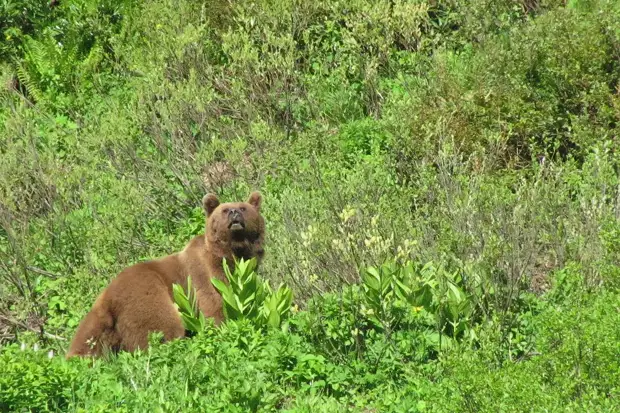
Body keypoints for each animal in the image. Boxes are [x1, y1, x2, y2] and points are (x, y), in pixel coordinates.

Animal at [65, 192, 264, 356]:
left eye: (243, 208)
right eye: (224, 210)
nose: (234, 213)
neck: (232, 254)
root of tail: (107, 296)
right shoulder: (204, 275)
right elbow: (214, 307)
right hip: (146, 295)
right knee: (163, 328)